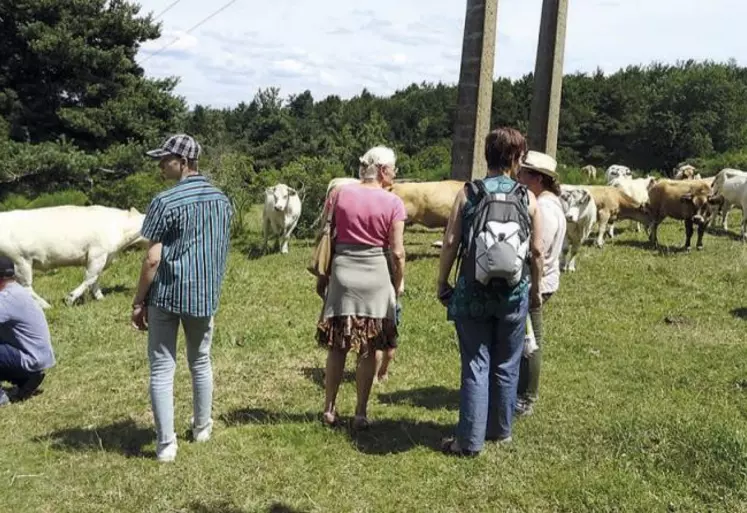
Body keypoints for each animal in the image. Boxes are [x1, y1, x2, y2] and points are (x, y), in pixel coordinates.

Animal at [0, 205, 147, 308]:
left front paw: (100, 298)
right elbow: (89, 278)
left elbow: (95, 280)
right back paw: (46, 305)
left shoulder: (104, 257)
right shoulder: (97, 254)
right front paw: (70, 298)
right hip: (21, 261)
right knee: (26, 287)